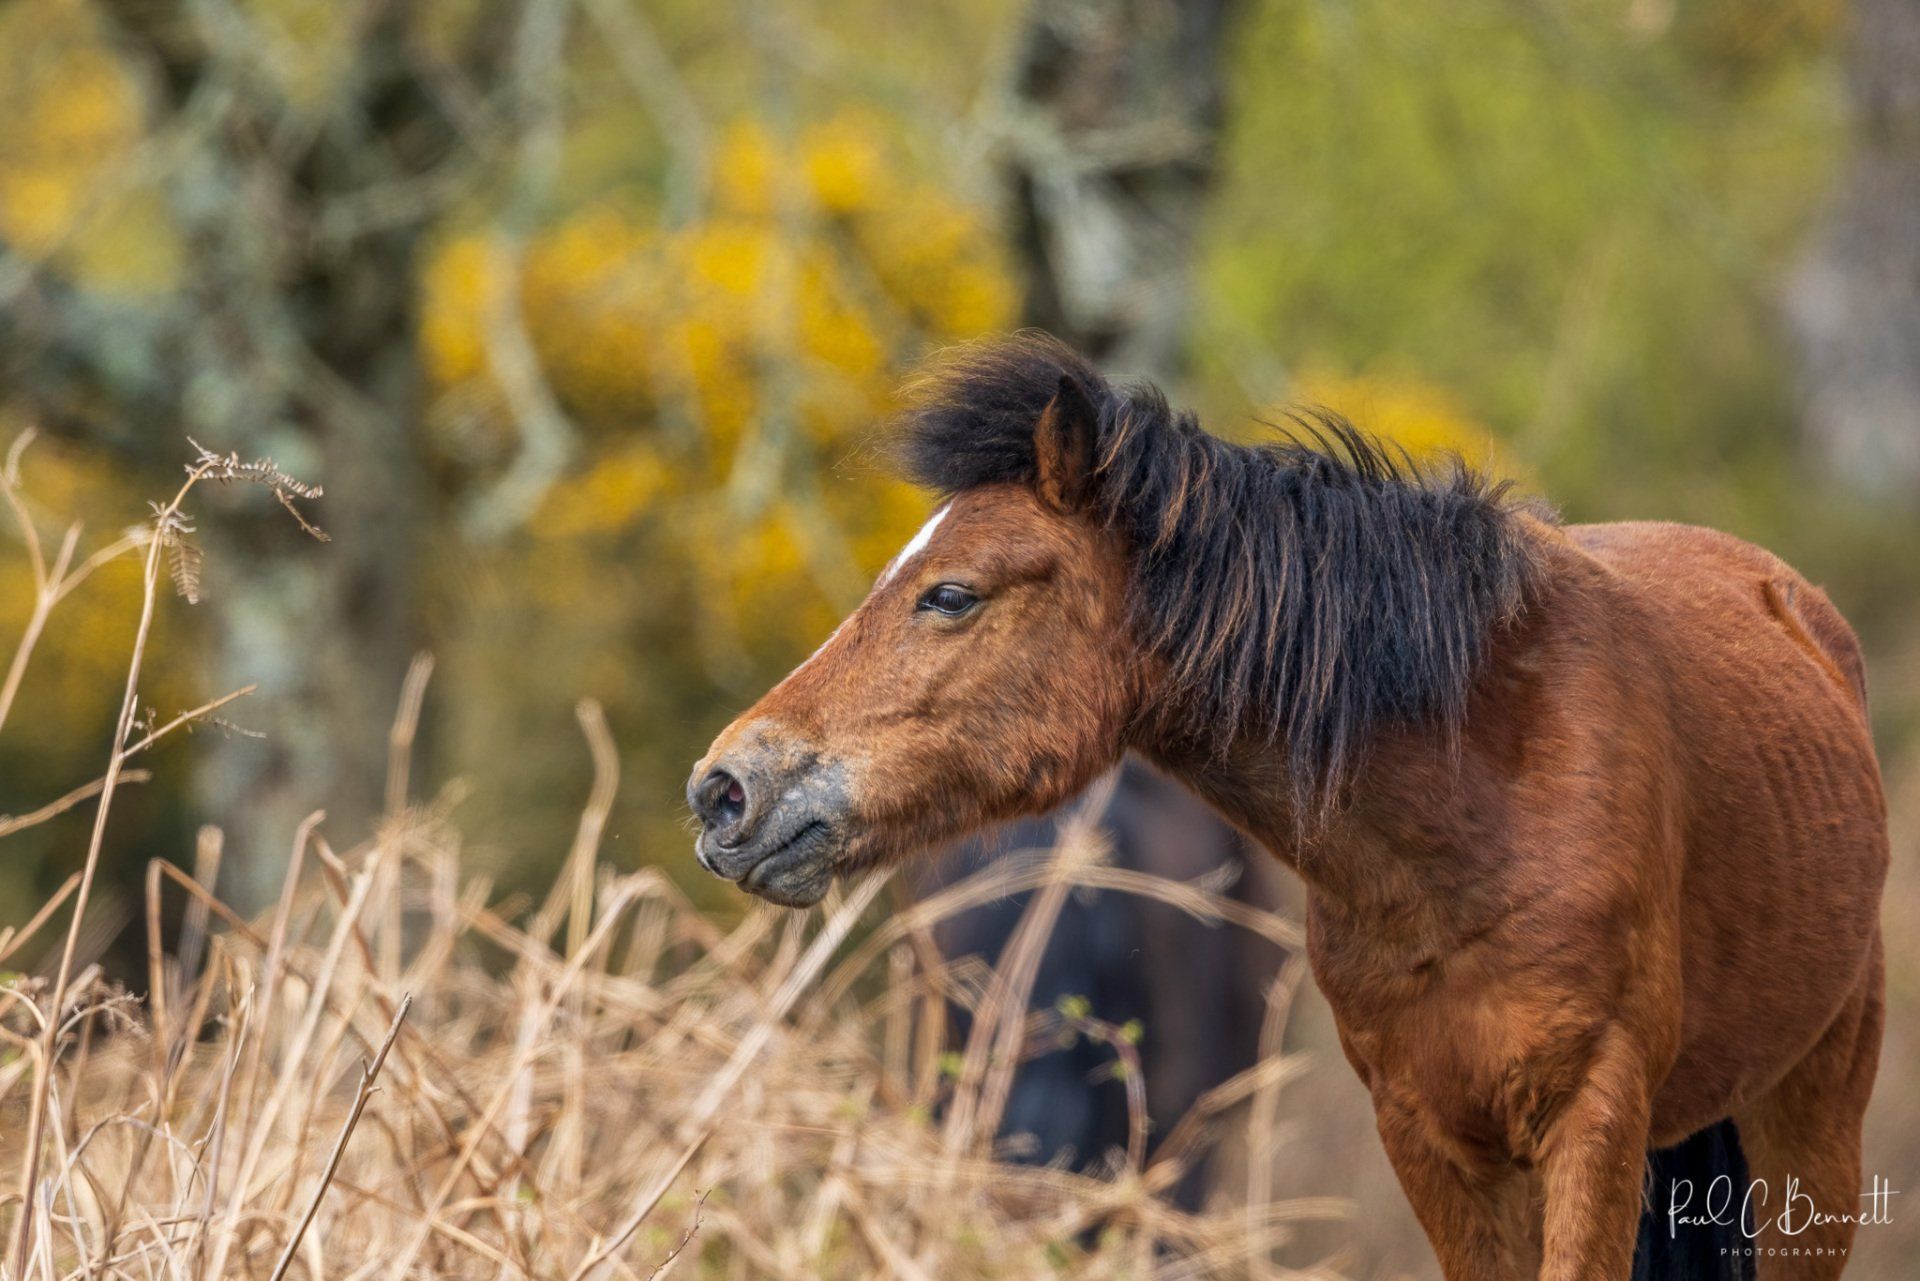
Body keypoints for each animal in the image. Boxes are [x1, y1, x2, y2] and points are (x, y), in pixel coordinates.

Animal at [689, 334, 1889, 1279]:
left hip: (1809, 1135)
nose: (725, 787)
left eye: (949, 594)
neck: (1481, 819)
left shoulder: (1593, 1123)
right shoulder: (1431, 1139)